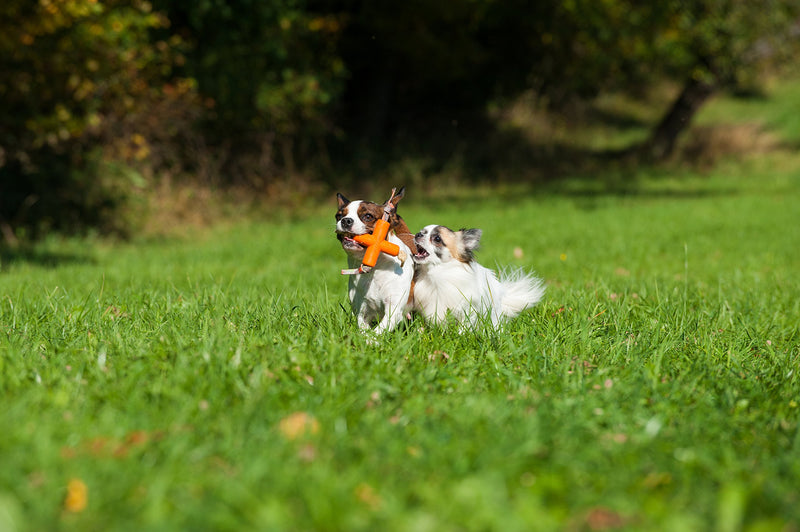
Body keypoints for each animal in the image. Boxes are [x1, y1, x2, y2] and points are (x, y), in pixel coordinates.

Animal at [334, 188, 416, 332]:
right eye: (339, 216)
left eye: (368, 216)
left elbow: (378, 330)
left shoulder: (393, 311)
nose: (346, 220)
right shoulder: (361, 311)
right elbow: (364, 329)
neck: (374, 269)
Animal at [412, 224, 544, 328]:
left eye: (437, 238)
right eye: (422, 231)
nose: (418, 234)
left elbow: (464, 327)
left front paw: (461, 335)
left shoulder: (468, 309)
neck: (436, 275)